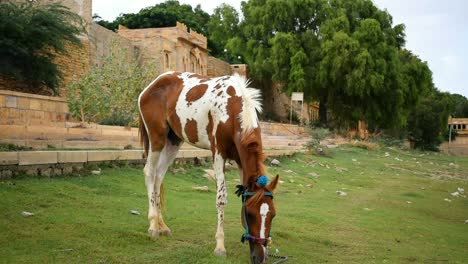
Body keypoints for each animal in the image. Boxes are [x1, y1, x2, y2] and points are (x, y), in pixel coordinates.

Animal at [137, 71, 280, 262]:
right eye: (250, 214)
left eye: (273, 214)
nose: (260, 257)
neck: (233, 108)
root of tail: (151, 85)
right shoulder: (218, 153)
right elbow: (221, 199)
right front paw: (220, 246)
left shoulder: (240, 160)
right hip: (157, 137)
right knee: (150, 173)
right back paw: (153, 225)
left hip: (174, 140)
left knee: (159, 176)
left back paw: (162, 225)